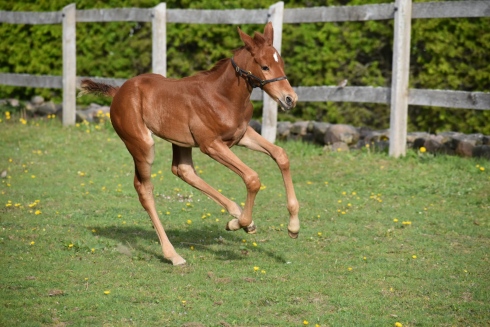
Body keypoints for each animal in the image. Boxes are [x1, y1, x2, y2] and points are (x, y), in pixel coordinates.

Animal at [81, 22, 298, 266]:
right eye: (264, 66)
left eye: (281, 63)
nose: (290, 99)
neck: (224, 96)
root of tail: (118, 92)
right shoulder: (211, 144)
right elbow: (252, 178)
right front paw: (238, 223)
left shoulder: (241, 135)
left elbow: (281, 155)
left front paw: (292, 227)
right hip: (142, 144)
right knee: (145, 189)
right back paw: (173, 254)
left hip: (180, 141)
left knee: (183, 170)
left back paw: (237, 214)